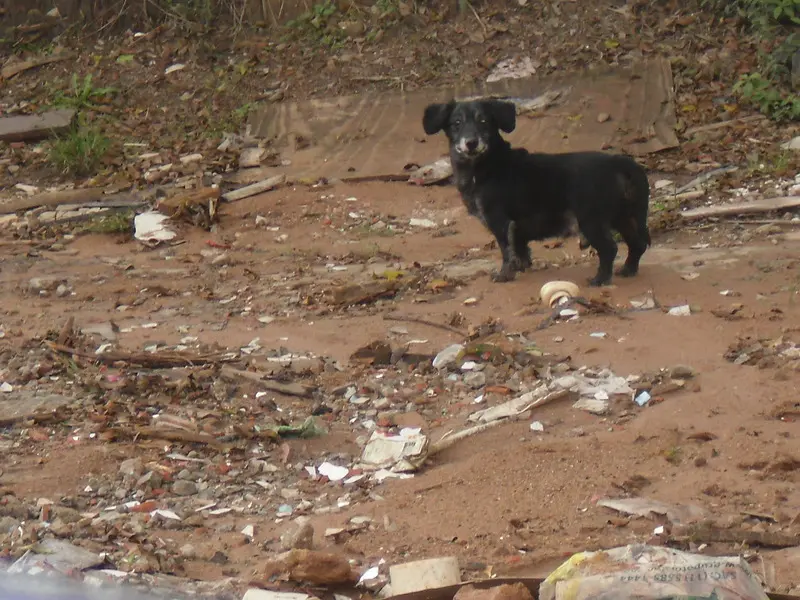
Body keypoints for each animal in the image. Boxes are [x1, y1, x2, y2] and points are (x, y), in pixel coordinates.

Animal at [418, 98, 648, 286]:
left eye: (483, 121)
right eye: (456, 123)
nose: (471, 143)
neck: (487, 166)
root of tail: (618, 163)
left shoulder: (499, 221)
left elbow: (506, 251)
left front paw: (505, 275)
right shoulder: (516, 227)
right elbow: (520, 248)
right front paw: (522, 265)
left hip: (591, 219)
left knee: (610, 249)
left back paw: (600, 279)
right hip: (623, 216)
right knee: (637, 244)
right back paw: (628, 269)